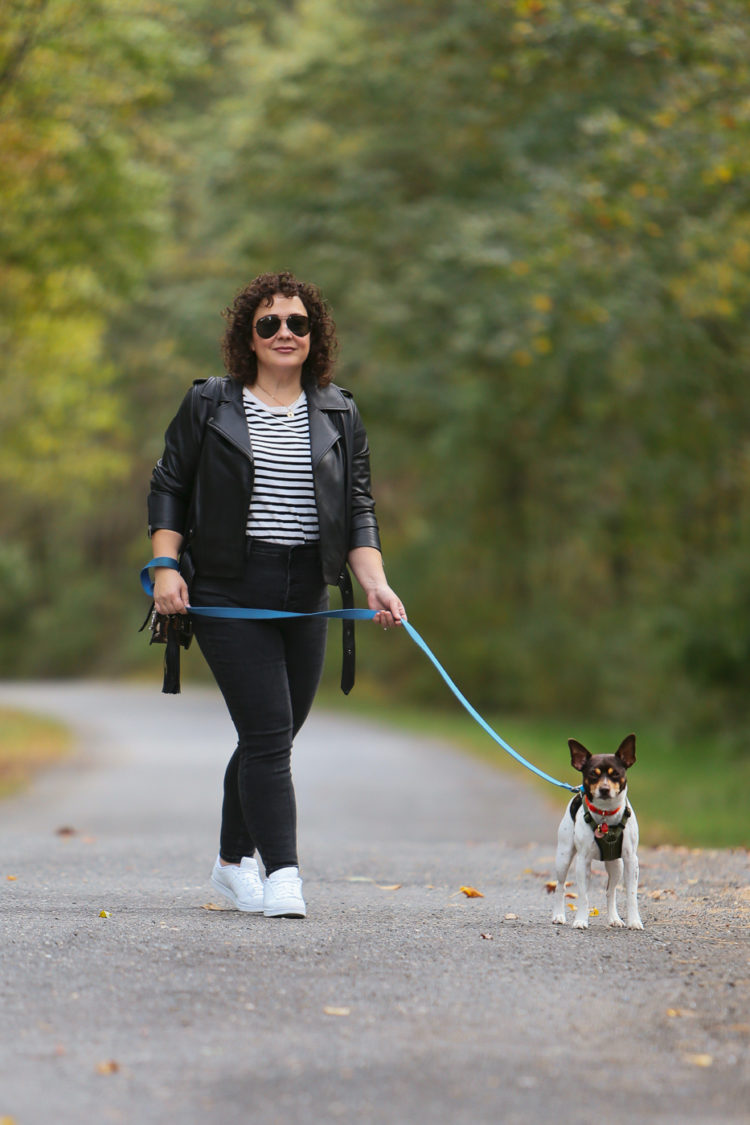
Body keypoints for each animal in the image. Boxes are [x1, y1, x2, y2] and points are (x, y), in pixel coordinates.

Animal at [550, 729, 647, 931]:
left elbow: (631, 895)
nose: (604, 789)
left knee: (611, 891)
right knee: (560, 886)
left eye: (615, 774)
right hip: (563, 857)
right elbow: (583, 896)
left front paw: (634, 921)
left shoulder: (631, 860)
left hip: (616, 865)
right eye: (593, 775)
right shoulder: (583, 861)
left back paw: (614, 918)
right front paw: (581, 920)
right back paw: (558, 915)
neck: (605, 815)